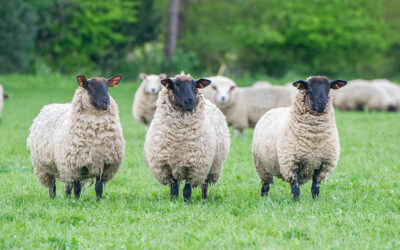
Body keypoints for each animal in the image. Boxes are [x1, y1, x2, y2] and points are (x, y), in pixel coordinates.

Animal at [145, 72, 230, 201]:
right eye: (176, 85)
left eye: (195, 85)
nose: (190, 100)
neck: (179, 136)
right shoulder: (166, 166)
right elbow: (174, 188)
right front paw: (173, 201)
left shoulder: (195, 166)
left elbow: (187, 189)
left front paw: (186, 202)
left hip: (211, 168)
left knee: (205, 185)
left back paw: (205, 199)